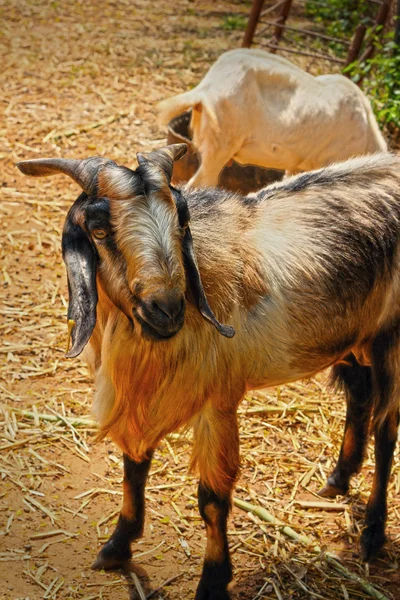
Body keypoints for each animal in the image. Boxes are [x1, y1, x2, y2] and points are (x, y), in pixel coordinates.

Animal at [17, 146, 400, 600]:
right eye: (98, 230)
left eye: (180, 223)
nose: (166, 309)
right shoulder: (141, 398)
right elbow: (134, 468)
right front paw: (116, 546)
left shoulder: (219, 401)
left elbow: (212, 499)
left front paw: (213, 578)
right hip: (351, 335)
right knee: (359, 396)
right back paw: (339, 479)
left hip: (391, 339)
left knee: (386, 430)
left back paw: (373, 534)